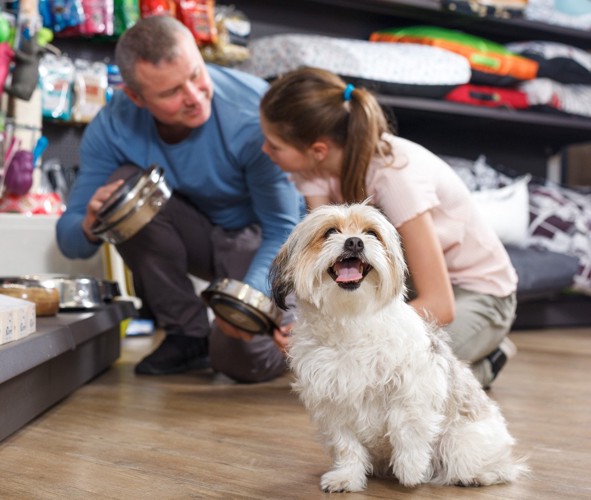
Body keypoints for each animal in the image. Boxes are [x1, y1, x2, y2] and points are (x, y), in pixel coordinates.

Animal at [270, 203, 528, 492]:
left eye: (371, 233)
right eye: (330, 232)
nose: (354, 242)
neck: (351, 319)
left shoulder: (414, 386)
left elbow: (405, 426)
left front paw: (411, 469)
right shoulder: (331, 402)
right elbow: (346, 445)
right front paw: (346, 476)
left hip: (459, 442)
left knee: (495, 467)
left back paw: (475, 475)